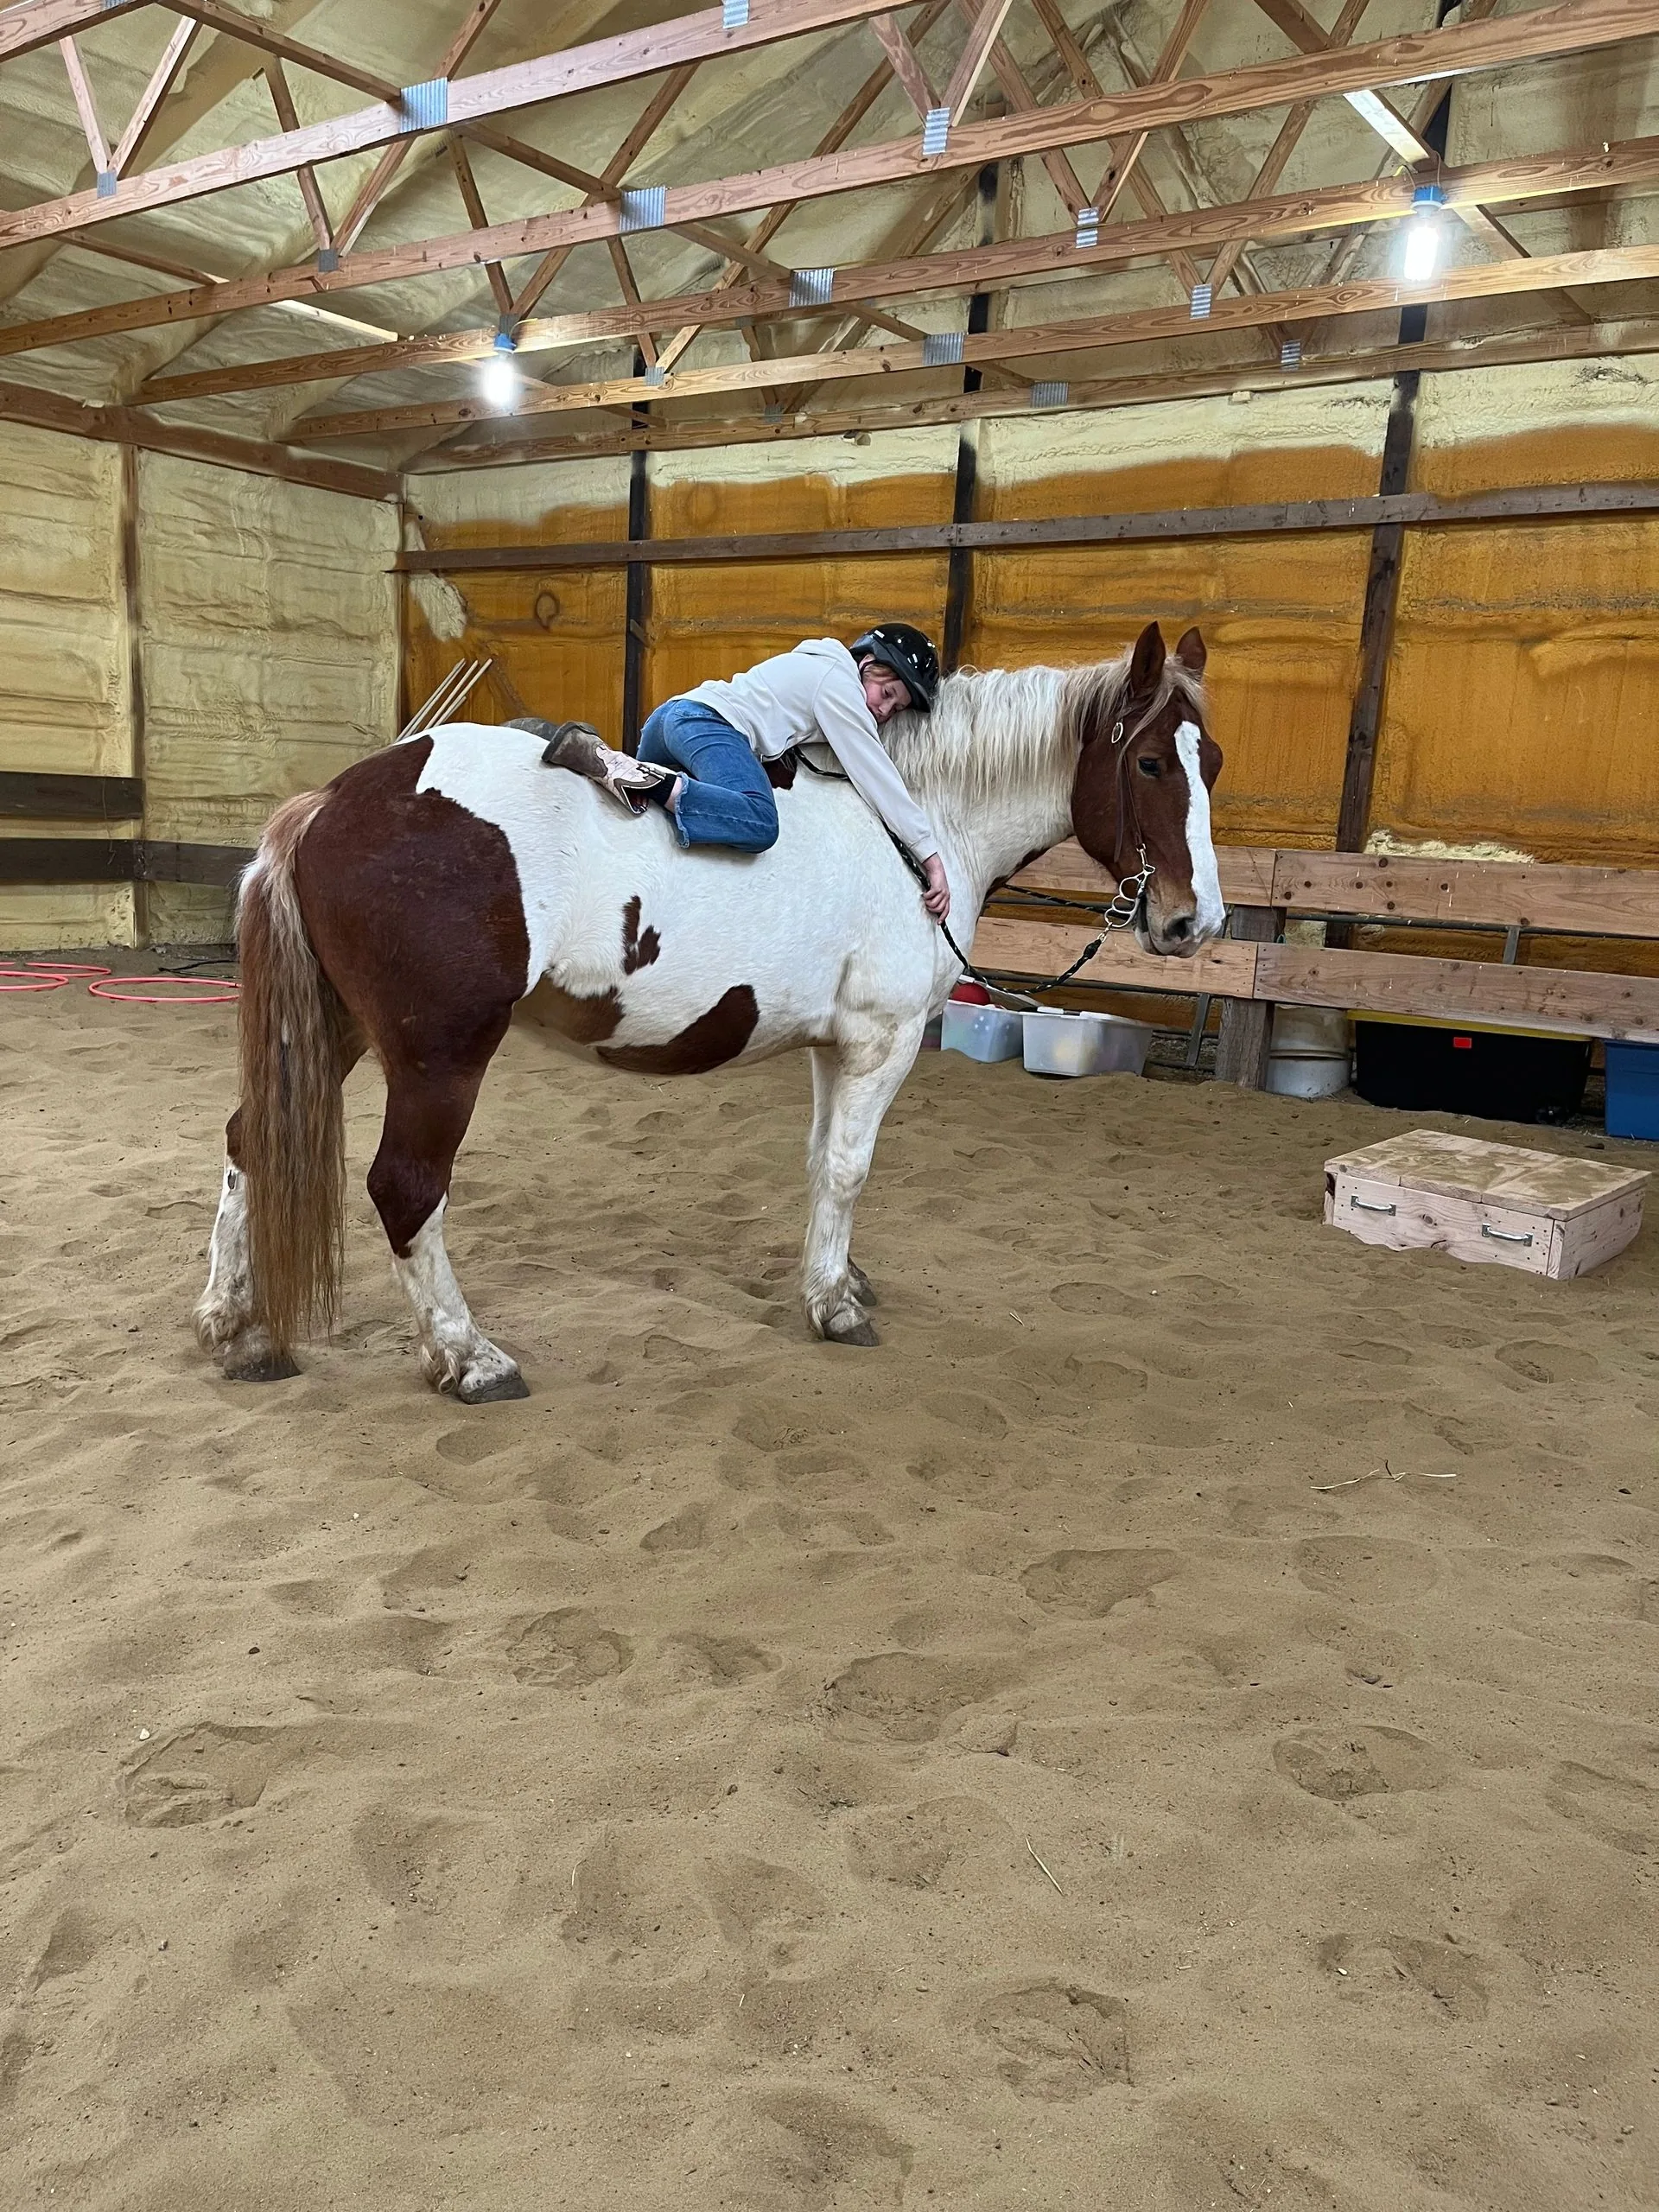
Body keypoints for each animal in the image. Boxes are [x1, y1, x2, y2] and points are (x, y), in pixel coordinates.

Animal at [196, 618, 1224, 1401]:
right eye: (1147, 763)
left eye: (1208, 759)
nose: (1194, 921)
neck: (916, 825)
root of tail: (329, 802)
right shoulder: (882, 1041)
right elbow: (848, 1169)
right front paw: (833, 1306)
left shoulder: (831, 1045)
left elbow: (821, 1165)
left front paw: (838, 1277)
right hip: (437, 1057)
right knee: (406, 1189)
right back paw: (469, 1356)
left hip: (337, 1030)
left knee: (252, 1140)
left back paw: (236, 1327)